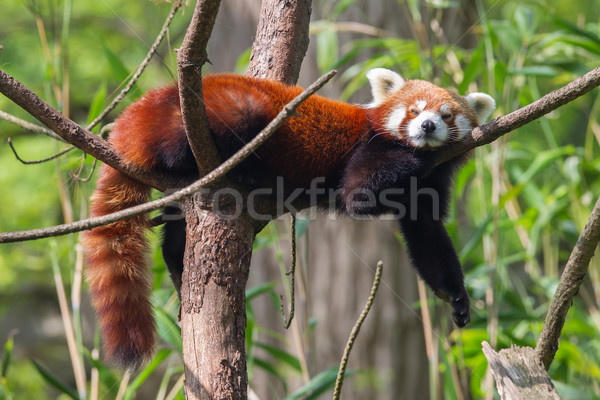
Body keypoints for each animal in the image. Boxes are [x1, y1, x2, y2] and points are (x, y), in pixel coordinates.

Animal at [82, 68, 494, 368]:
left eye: (446, 115)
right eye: (414, 110)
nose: (427, 127)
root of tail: (147, 105)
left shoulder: (431, 189)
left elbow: (428, 237)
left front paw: (455, 296)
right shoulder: (370, 151)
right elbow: (357, 196)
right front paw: (416, 154)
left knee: (177, 231)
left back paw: (178, 264)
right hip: (224, 111)